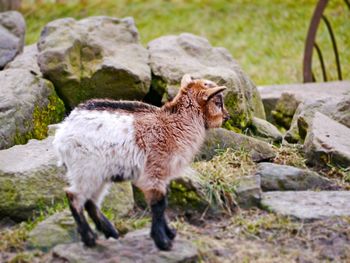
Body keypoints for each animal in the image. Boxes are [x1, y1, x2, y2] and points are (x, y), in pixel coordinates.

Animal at [52, 75, 230, 252]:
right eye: (218, 102)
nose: (227, 116)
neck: (173, 124)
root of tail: (63, 131)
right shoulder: (154, 171)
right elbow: (159, 204)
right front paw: (163, 242)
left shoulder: (163, 175)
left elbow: (162, 202)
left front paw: (169, 233)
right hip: (87, 169)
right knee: (74, 196)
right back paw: (89, 238)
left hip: (98, 174)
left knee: (90, 201)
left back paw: (110, 232)